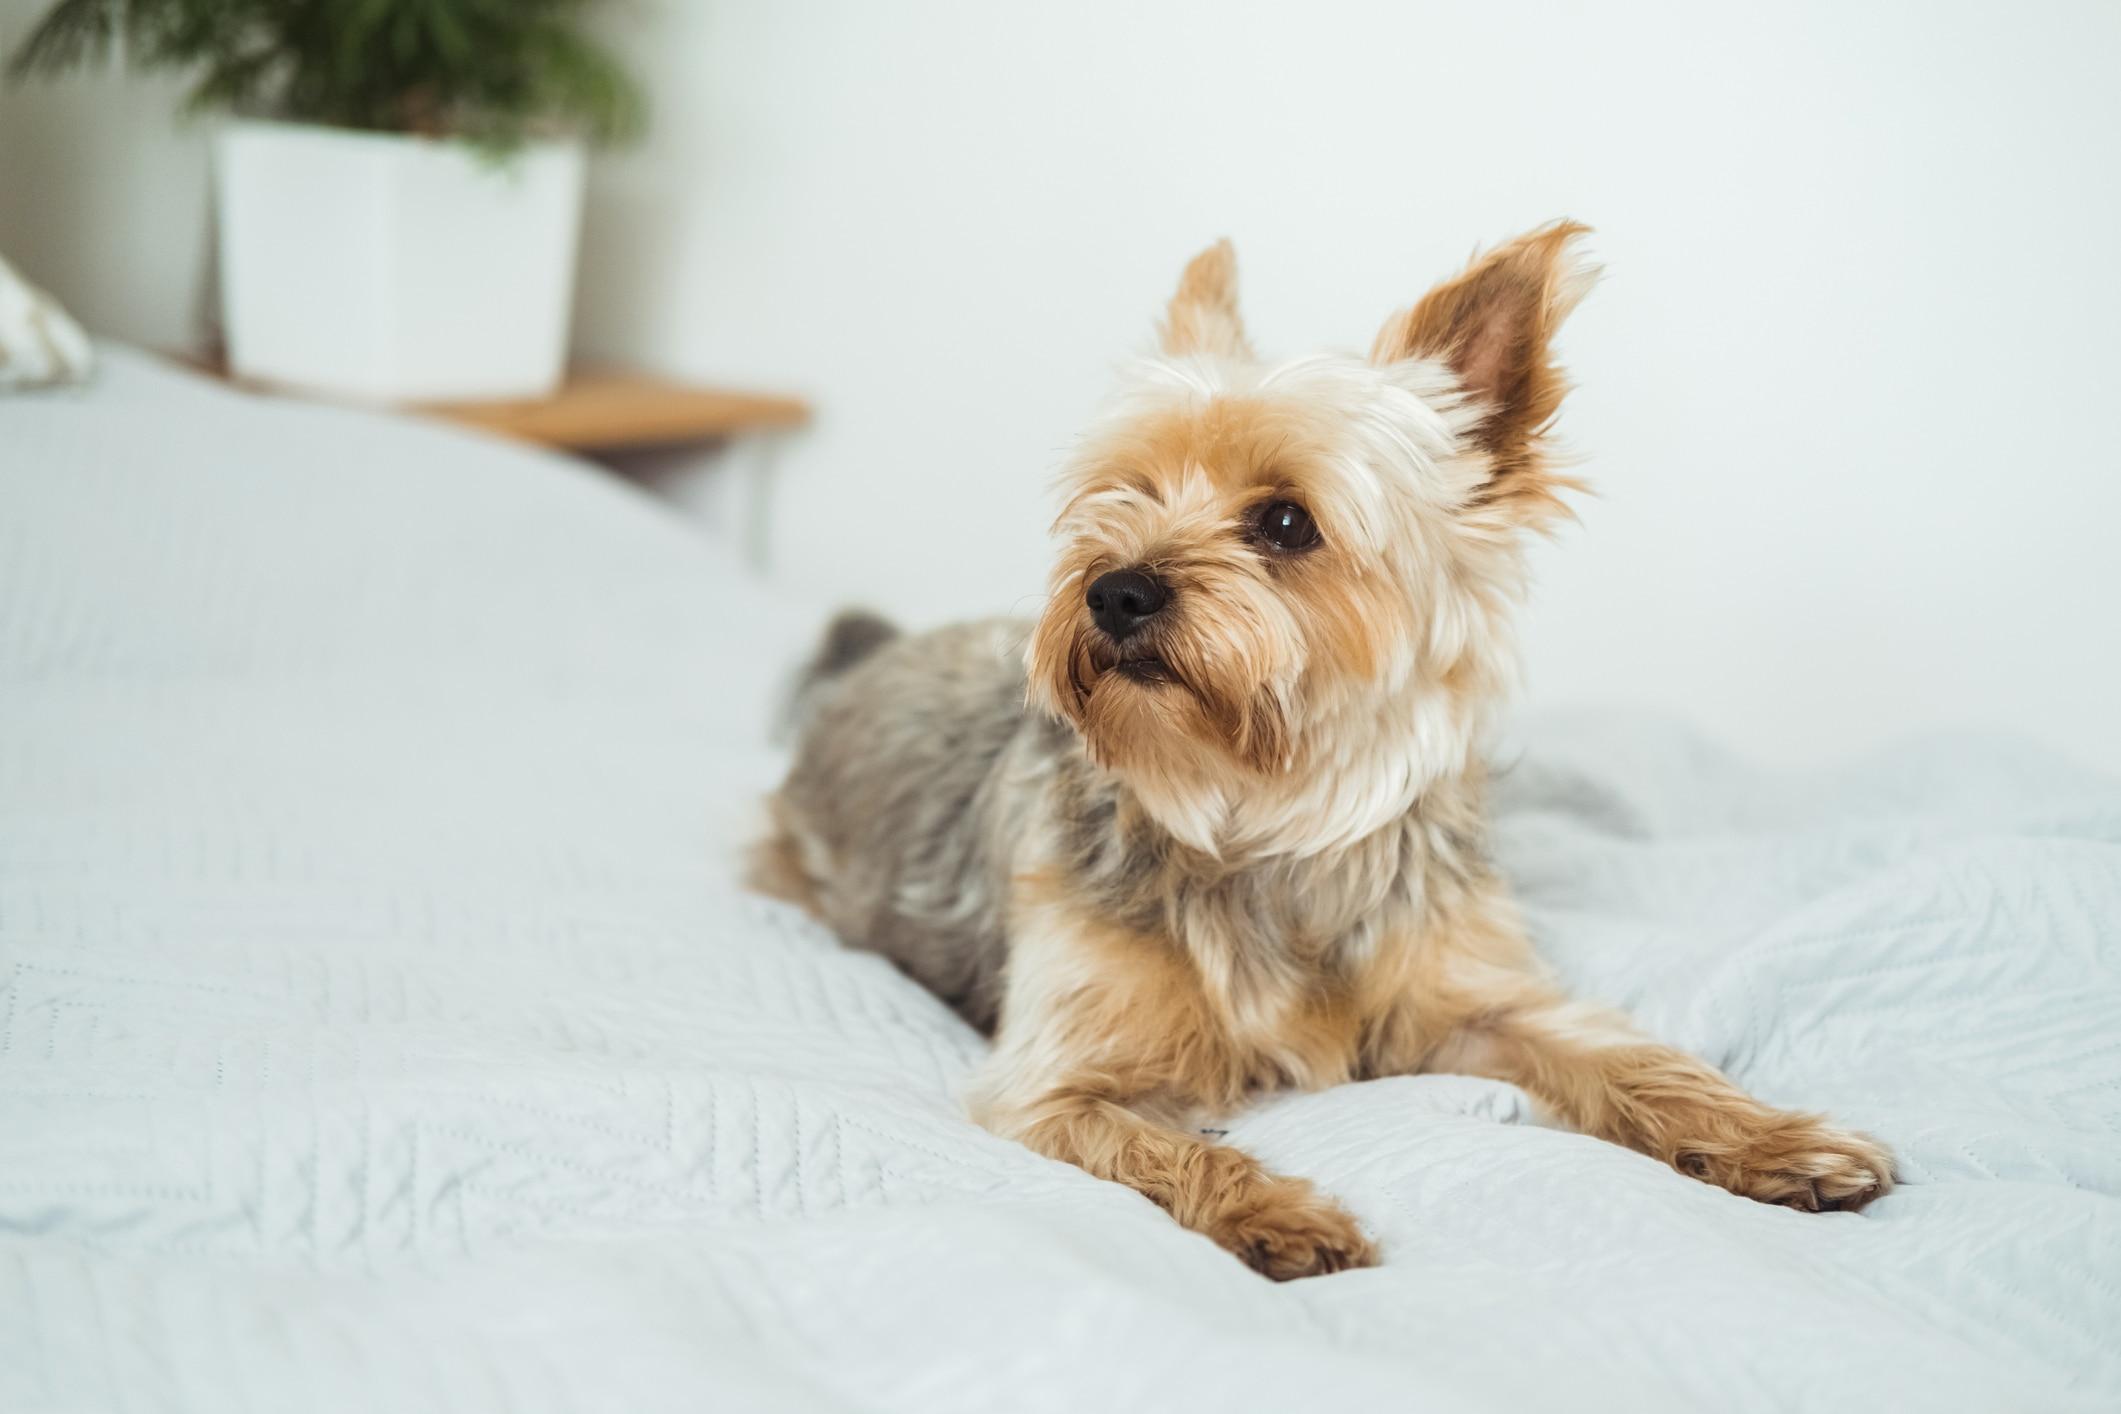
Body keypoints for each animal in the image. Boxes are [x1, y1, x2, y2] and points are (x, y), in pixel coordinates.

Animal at [755, 223, 1900, 1280]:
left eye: (1285, 522)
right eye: (1122, 493)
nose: (1113, 589)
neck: (1269, 817)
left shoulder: (1472, 1001)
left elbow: (1624, 1057)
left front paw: (1774, 1138)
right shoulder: (1050, 1086)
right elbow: (1160, 1144)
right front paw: (1276, 1213)